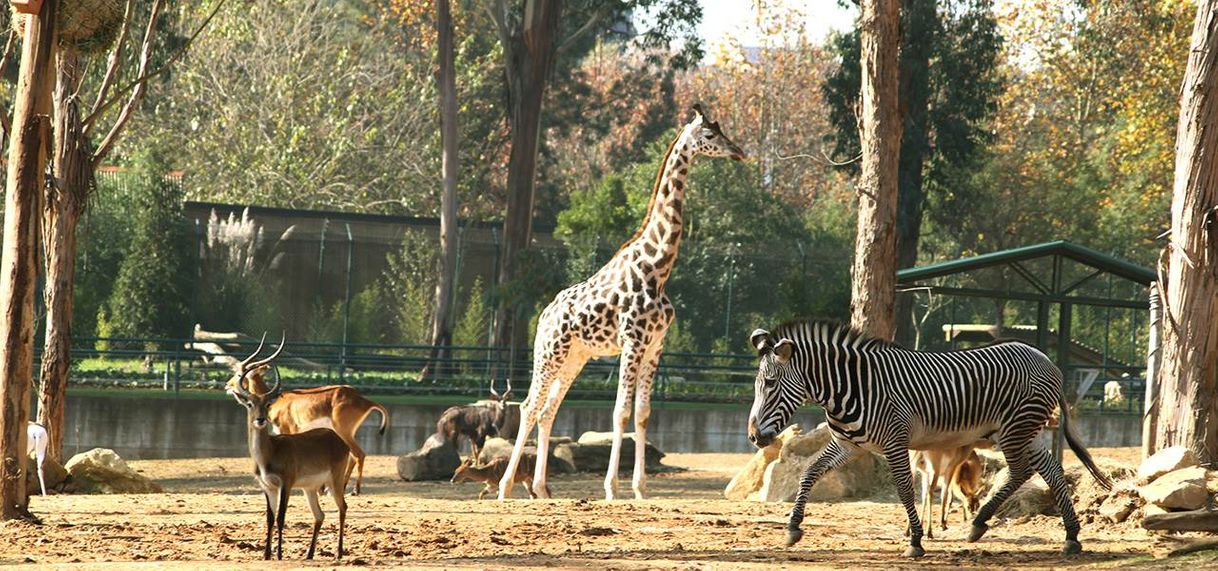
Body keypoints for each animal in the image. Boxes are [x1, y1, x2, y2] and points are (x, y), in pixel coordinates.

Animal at [224, 350, 384, 494]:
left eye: (239, 374)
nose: (227, 385)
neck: (276, 402)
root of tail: (363, 400)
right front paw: (320, 489)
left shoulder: (289, 430)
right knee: (353, 456)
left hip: (343, 431)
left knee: (359, 454)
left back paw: (354, 490)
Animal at [228, 333, 353, 560]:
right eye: (250, 404)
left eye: (267, 404)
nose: (260, 420)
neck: (268, 453)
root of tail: (338, 439)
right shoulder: (267, 486)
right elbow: (269, 518)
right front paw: (266, 555)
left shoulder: (286, 483)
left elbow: (281, 517)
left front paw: (278, 555)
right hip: (310, 488)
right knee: (319, 515)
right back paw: (309, 554)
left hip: (335, 481)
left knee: (343, 507)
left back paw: (339, 553)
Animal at [499, 103, 745, 499]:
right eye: (710, 135)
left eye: (724, 132)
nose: (739, 152)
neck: (658, 268)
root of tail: (544, 316)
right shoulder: (632, 342)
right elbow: (620, 413)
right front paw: (613, 488)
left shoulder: (656, 345)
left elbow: (642, 414)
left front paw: (641, 489)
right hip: (549, 353)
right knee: (528, 405)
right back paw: (506, 487)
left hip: (576, 358)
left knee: (549, 409)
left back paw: (541, 489)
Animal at [740, 321, 1115, 557]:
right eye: (758, 384)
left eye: (769, 384)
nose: (755, 437)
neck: (851, 387)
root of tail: (1048, 360)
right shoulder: (849, 444)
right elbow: (809, 473)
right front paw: (792, 528)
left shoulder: (895, 442)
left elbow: (906, 490)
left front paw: (916, 541)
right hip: (1026, 430)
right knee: (1048, 470)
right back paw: (1067, 535)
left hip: (1016, 428)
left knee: (1023, 470)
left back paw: (987, 523)